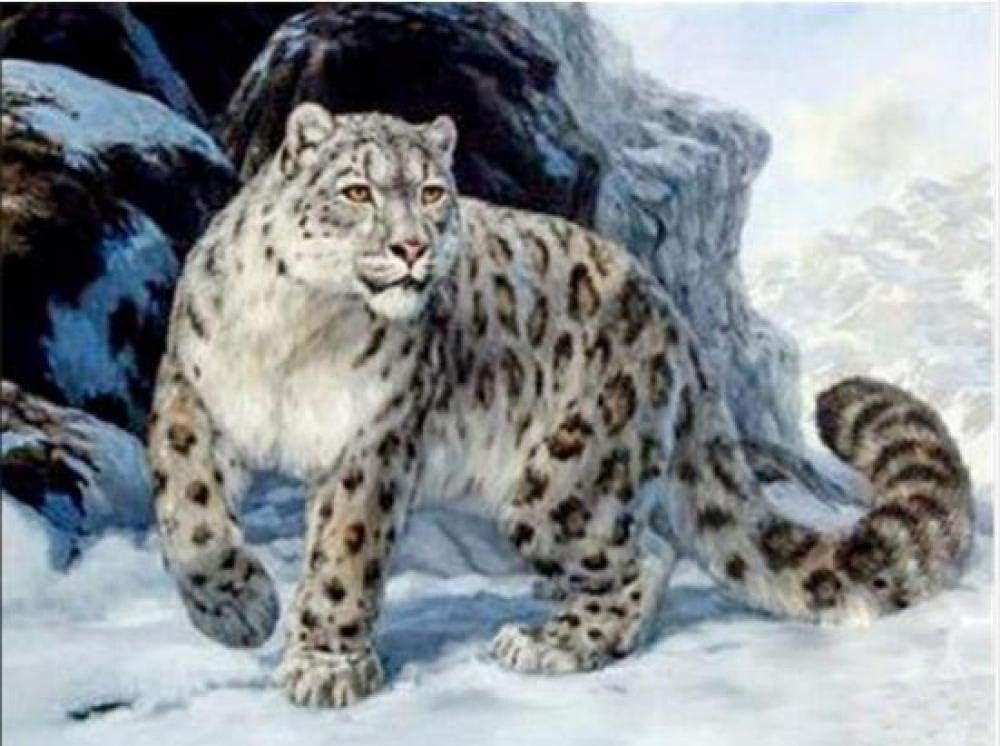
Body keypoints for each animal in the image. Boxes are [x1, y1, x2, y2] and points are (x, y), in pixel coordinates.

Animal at [147, 103, 975, 708]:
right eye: (357, 191)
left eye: (431, 192)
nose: (414, 248)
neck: (301, 330)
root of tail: (674, 322)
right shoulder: (192, 391)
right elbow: (187, 508)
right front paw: (235, 609)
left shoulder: (373, 439)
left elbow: (345, 553)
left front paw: (324, 665)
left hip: (564, 482)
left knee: (644, 556)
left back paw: (550, 642)